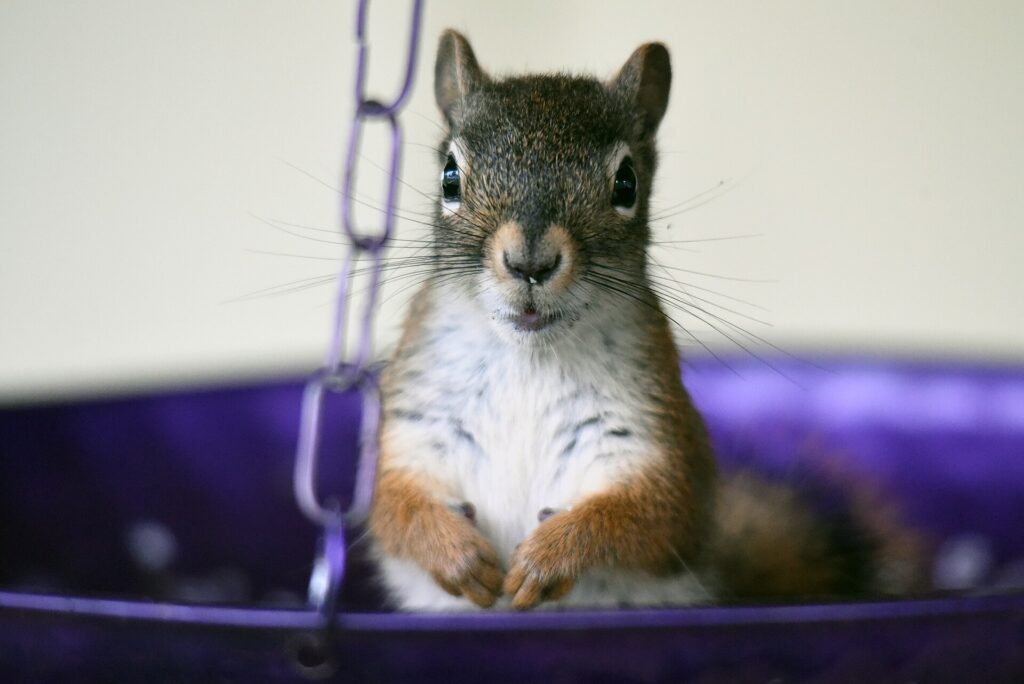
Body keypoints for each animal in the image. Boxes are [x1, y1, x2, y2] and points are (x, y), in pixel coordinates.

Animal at [367, 30, 924, 611]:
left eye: (626, 183)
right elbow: (392, 506)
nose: (530, 263)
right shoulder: (412, 427)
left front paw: (548, 557)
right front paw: (458, 555)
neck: (529, 357)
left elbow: (648, 518)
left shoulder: (654, 437)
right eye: (449, 176)